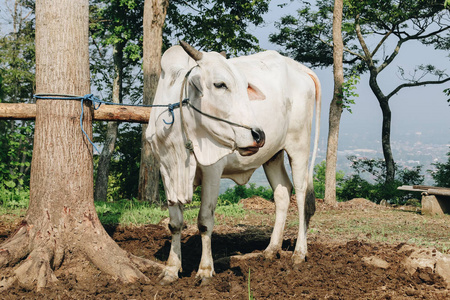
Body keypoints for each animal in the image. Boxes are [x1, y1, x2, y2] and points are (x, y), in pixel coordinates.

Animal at [147, 41, 320, 284]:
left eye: (245, 86)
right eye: (220, 84)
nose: (258, 134)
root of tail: (299, 68)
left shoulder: (212, 169)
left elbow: (204, 221)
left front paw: (205, 271)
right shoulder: (166, 170)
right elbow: (175, 223)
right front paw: (171, 269)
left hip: (299, 146)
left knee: (303, 194)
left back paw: (299, 253)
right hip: (273, 155)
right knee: (282, 193)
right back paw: (271, 249)